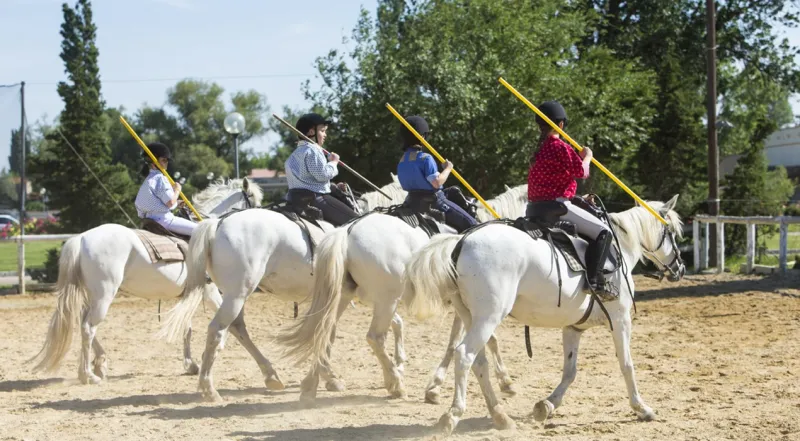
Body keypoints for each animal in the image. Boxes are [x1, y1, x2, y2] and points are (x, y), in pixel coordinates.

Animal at [28, 178, 263, 385]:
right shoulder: (210, 291)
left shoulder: (190, 294)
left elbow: (186, 328)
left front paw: (191, 365)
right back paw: (88, 375)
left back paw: (100, 363)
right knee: (88, 327)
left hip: (91, 295)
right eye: (253, 198)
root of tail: (81, 238)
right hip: (104, 296)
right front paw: (211, 353)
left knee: (83, 322)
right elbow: (225, 323)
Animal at [156, 179, 408, 401]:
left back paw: (271, 376)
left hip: (232, 294)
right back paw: (210, 389)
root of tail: (217, 224)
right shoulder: (372, 294)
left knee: (237, 328)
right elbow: (390, 323)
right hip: (237, 294)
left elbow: (330, 330)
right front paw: (395, 366)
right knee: (217, 330)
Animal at [278, 184, 529, 404]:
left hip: (343, 296)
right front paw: (503, 381)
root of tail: (347, 232)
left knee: (323, 329)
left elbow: (478, 340)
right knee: (374, 337)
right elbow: (467, 342)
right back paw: (395, 384)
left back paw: (313, 384)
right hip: (386, 300)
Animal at [402, 196, 686, 435]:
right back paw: (452, 416)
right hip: (488, 318)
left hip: (472, 317)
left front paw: (547, 405)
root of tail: (461, 242)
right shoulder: (620, 320)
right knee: (464, 355)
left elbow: (570, 371)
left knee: (479, 362)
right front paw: (642, 408)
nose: (680, 268)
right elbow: (626, 364)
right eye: (671, 232)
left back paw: (500, 416)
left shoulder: (574, 327)